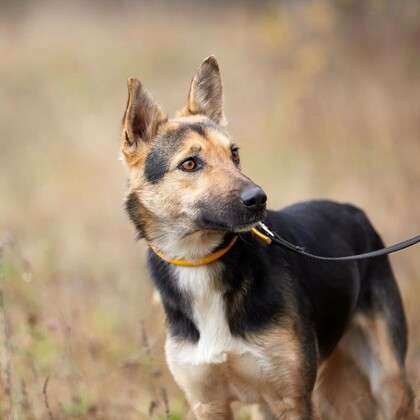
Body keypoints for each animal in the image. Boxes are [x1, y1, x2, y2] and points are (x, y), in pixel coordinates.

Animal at [120, 56, 416, 420]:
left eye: (234, 154)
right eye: (190, 164)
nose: (258, 199)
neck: (199, 261)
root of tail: (352, 210)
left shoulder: (292, 398)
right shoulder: (209, 403)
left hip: (388, 378)